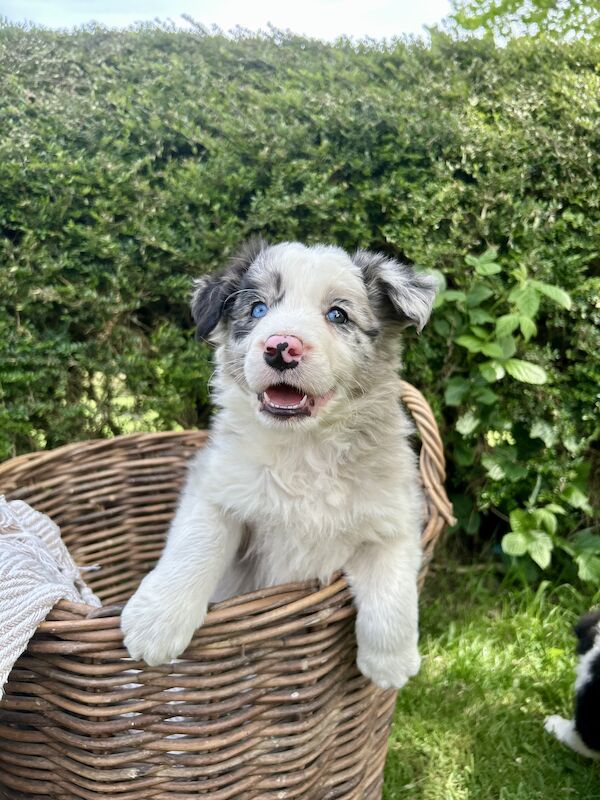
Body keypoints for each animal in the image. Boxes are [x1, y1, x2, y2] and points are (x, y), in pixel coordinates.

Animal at [122, 238, 438, 688]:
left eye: (337, 314)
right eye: (257, 309)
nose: (280, 347)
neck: (304, 448)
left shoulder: (396, 514)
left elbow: (392, 586)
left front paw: (390, 664)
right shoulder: (216, 487)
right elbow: (195, 545)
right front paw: (155, 625)